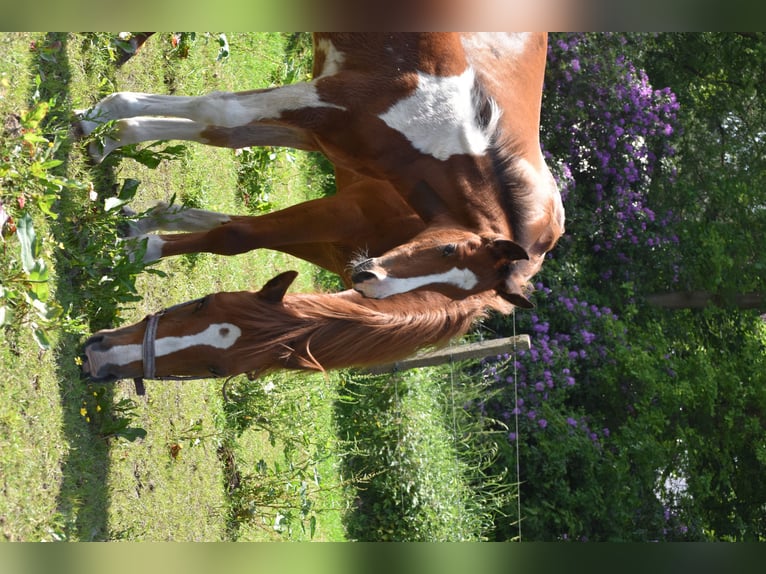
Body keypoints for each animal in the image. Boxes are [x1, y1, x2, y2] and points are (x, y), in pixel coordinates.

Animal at [80, 33, 564, 306]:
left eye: (449, 292)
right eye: (448, 250)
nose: (369, 282)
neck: (440, 131)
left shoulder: (321, 135)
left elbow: (221, 136)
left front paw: (114, 148)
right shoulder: (326, 100)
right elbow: (217, 111)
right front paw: (97, 121)